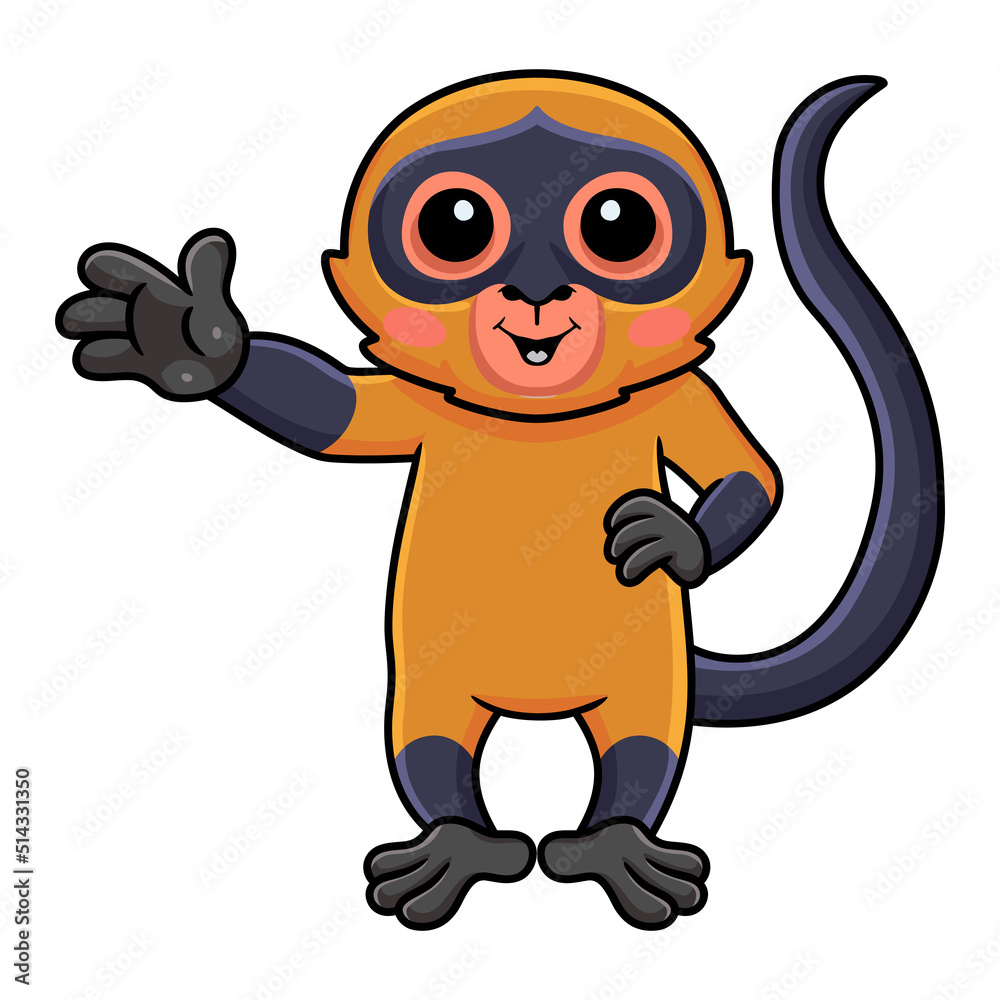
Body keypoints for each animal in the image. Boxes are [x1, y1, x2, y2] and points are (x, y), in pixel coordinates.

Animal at [56, 72, 943, 931]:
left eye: (618, 225)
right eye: (455, 224)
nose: (538, 290)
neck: (539, 417)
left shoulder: (686, 394)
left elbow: (754, 476)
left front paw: (669, 538)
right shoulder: (417, 406)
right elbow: (332, 414)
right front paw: (192, 337)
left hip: (645, 675)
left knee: (642, 745)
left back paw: (618, 848)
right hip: (433, 685)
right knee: (429, 743)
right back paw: (458, 848)